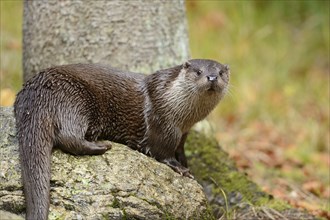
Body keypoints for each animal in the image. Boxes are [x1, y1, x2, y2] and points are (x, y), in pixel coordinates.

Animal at [12, 59, 229, 219]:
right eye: (198, 72)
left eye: (220, 73)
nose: (211, 77)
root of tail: (35, 92)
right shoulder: (163, 125)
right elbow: (162, 152)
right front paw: (180, 169)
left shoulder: (183, 134)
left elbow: (180, 150)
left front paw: (187, 166)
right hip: (75, 100)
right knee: (68, 136)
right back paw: (101, 146)